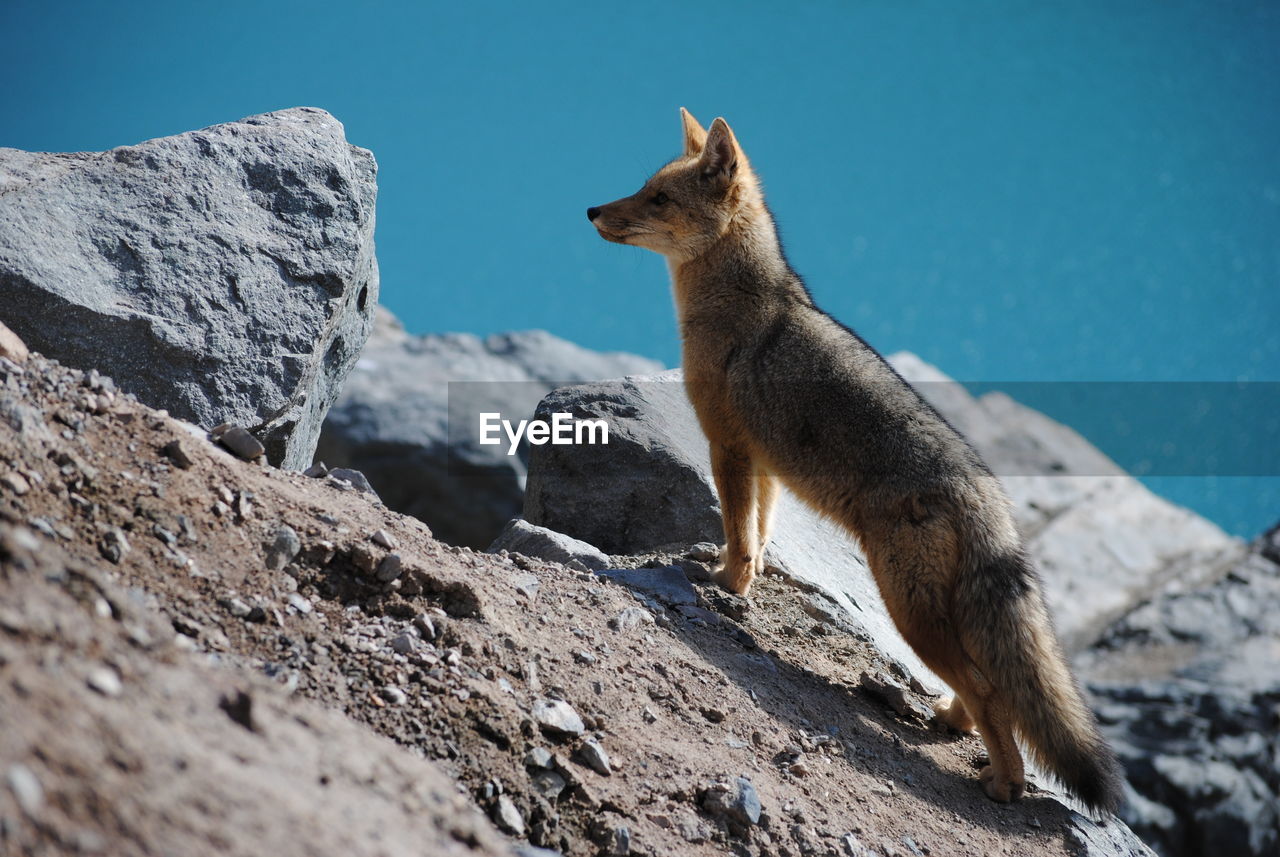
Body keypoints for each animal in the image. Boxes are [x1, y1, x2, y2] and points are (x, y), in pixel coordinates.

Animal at [586, 110, 1121, 813]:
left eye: (658, 199)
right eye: (643, 189)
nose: (591, 209)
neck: (739, 304)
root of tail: (985, 491)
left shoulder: (728, 446)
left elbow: (739, 533)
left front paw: (726, 583)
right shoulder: (764, 463)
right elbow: (759, 532)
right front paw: (744, 576)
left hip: (909, 611)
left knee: (988, 689)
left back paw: (1004, 782)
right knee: (990, 685)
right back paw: (951, 723)